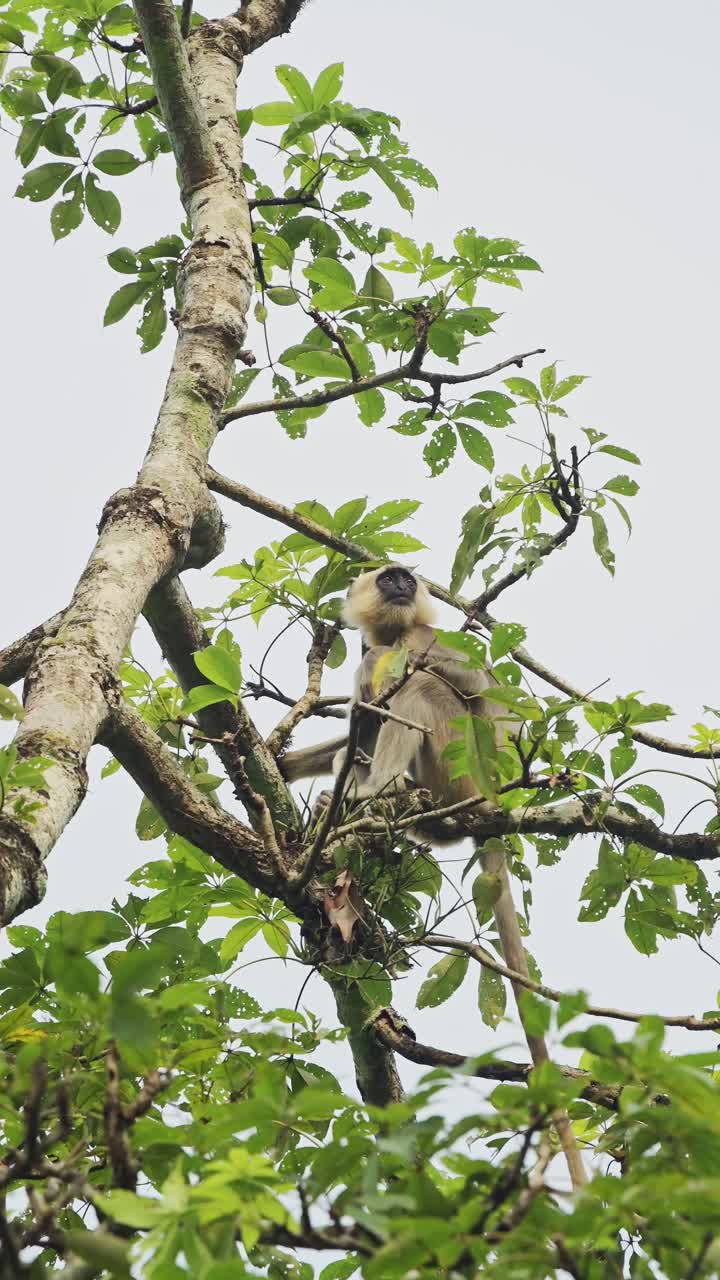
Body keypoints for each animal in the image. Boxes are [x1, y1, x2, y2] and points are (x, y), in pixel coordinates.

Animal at [283, 565, 587, 1190]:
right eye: (389, 579)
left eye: (406, 581)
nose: (402, 587)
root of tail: (492, 802)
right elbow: (358, 715)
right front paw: (286, 763)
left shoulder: (424, 641)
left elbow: (473, 680)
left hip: (461, 764)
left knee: (421, 690)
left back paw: (375, 792)